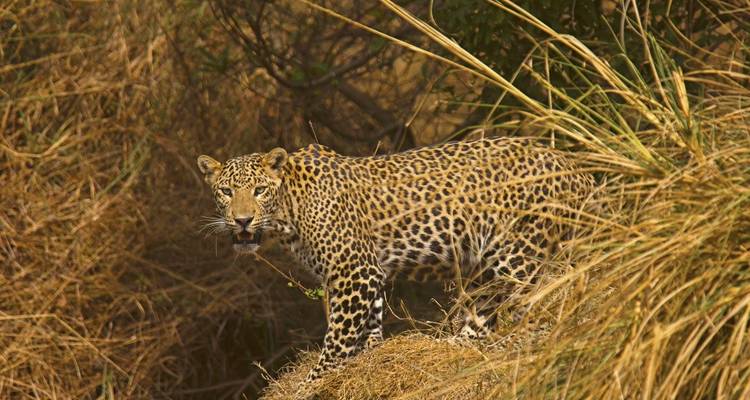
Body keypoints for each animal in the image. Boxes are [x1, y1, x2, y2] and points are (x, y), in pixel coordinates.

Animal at [196, 137, 596, 381]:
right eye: (226, 191)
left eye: (259, 190)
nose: (242, 220)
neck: (289, 211)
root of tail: (579, 171)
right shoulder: (369, 272)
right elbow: (369, 324)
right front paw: (370, 353)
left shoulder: (352, 271)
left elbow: (337, 338)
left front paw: (312, 382)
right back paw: (445, 348)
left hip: (517, 252)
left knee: (532, 308)